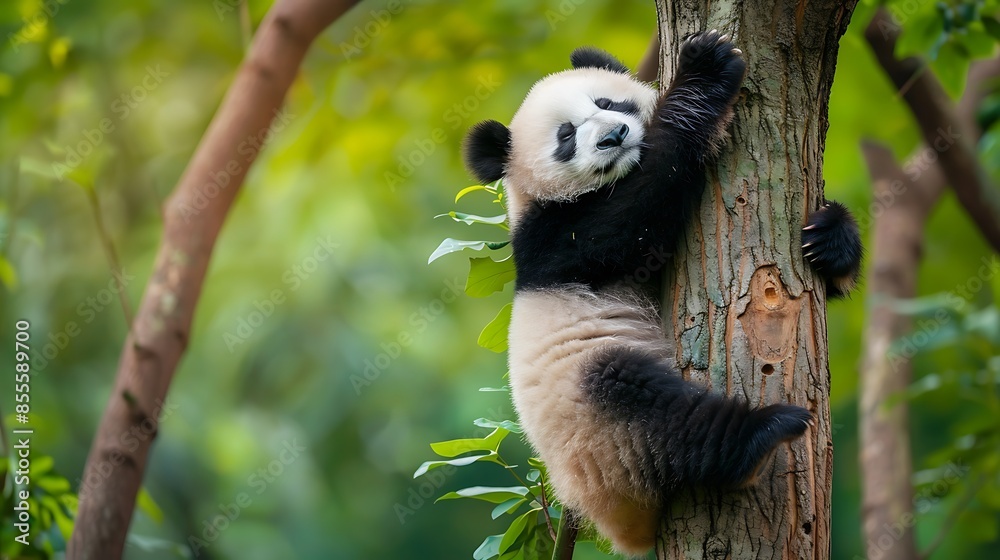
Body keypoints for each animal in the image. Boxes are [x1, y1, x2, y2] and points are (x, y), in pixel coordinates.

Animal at [462, 31, 862, 555]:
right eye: (566, 137)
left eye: (607, 102)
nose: (614, 137)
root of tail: (625, 528)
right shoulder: (551, 240)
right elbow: (637, 212)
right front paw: (704, 69)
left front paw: (830, 241)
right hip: (591, 423)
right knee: (651, 410)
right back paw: (755, 437)